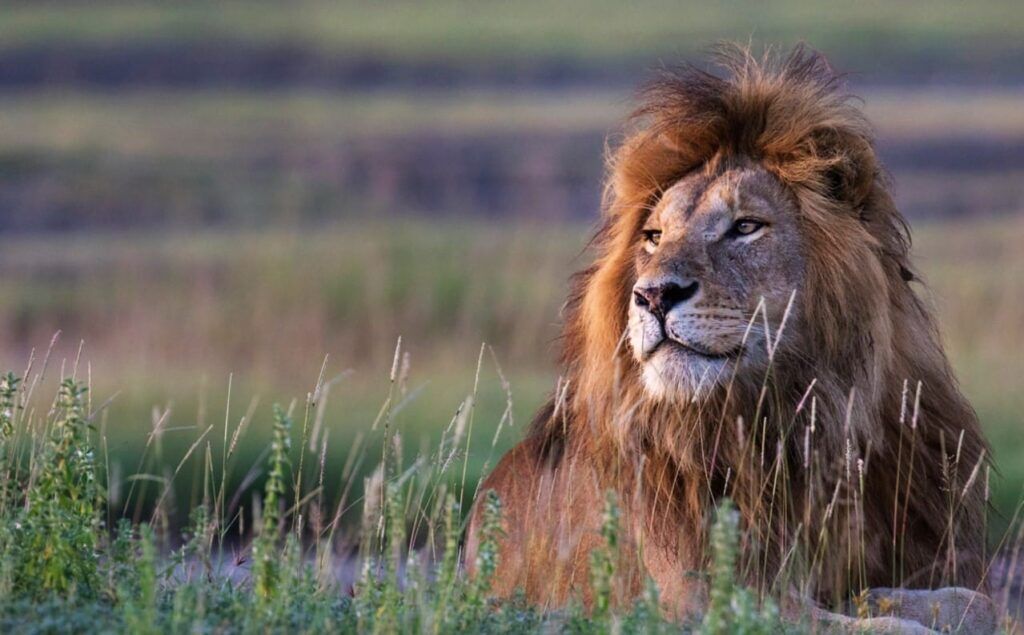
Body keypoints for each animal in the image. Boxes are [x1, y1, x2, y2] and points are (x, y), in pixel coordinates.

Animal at [466, 47, 991, 622]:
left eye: (745, 227)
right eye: (654, 236)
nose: (653, 296)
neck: (800, 422)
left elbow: (967, 600)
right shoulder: (714, 597)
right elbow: (884, 623)